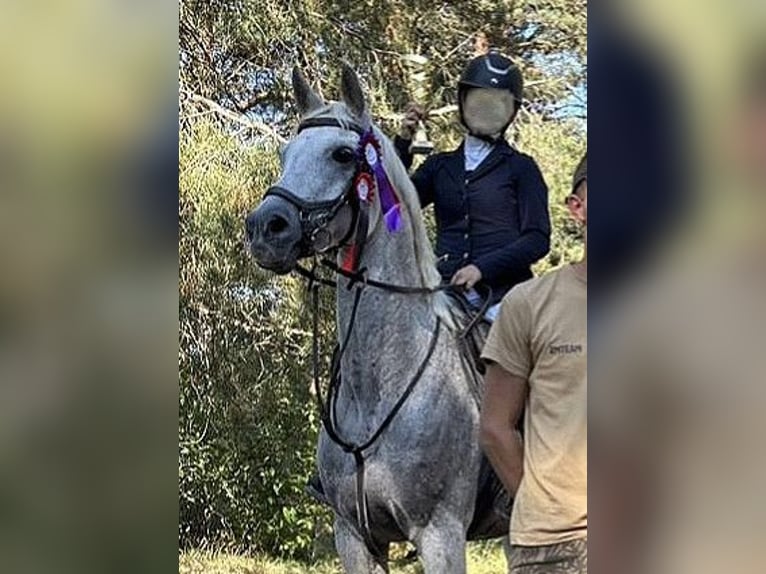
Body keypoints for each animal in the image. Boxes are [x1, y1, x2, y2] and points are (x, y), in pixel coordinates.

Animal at [245, 63, 509, 573]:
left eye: (344, 154)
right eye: (286, 152)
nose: (265, 229)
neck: (378, 384)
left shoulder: (441, 535)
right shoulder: (354, 536)